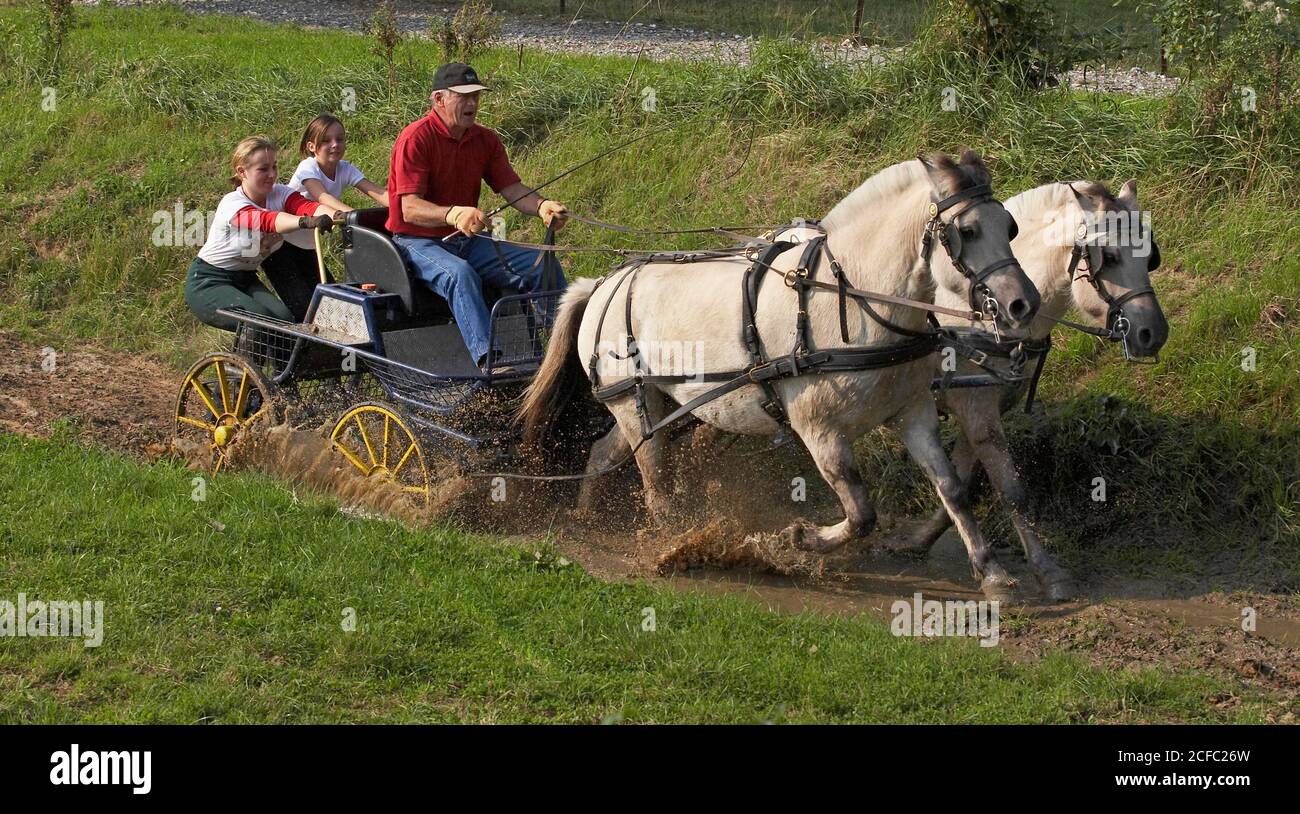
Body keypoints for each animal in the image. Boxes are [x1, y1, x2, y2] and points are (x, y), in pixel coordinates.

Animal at [522, 148, 1040, 598]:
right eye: (967, 230)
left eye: (1010, 226)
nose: (1022, 303)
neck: (852, 299)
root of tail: (600, 284)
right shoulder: (820, 430)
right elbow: (861, 514)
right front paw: (796, 539)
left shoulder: (912, 414)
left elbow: (952, 489)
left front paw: (992, 573)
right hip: (632, 402)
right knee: (654, 482)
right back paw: (672, 542)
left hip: (651, 406)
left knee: (604, 454)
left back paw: (587, 519)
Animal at [883, 179, 1170, 595]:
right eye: (1112, 257)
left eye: (1149, 257)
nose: (1154, 333)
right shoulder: (976, 407)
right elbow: (1010, 490)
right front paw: (1043, 570)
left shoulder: (985, 409)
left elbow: (961, 480)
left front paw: (921, 540)